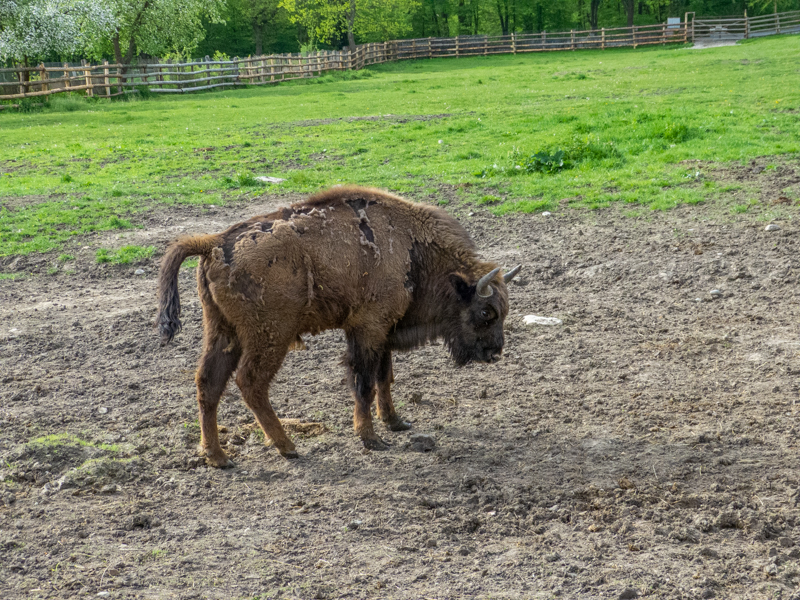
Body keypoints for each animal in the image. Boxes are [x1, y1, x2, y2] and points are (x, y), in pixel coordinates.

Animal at [157, 186, 521, 466]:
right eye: (486, 312)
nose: (494, 352)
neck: (414, 250)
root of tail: (215, 241)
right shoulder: (367, 330)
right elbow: (364, 383)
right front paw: (371, 439)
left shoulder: (383, 332)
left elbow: (385, 378)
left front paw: (397, 423)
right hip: (270, 337)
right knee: (251, 383)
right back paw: (288, 448)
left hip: (223, 332)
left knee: (208, 382)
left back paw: (218, 457)